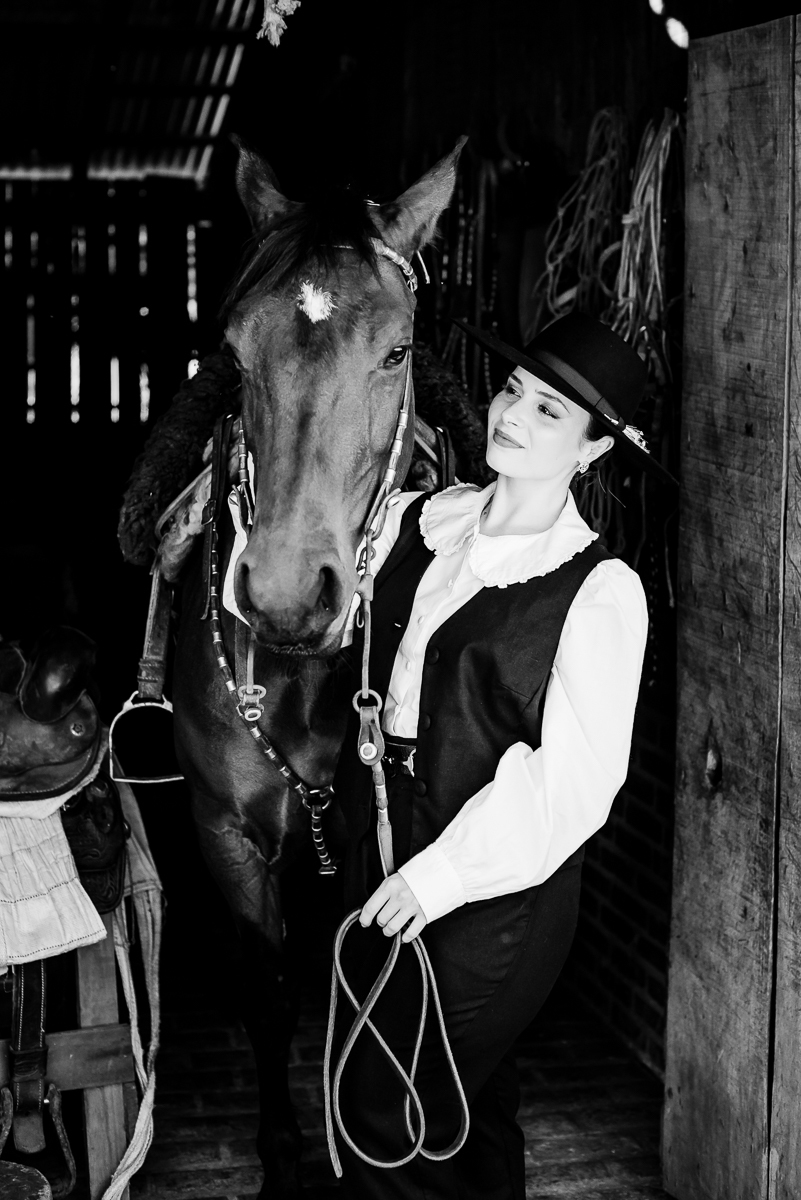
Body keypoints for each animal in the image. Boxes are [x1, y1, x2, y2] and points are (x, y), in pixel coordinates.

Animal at [171, 136, 465, 1197]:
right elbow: (269, 988)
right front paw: (283, 1152)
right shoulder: (222, 830)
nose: (290, 597)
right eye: (232, 352)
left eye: (397, 351)